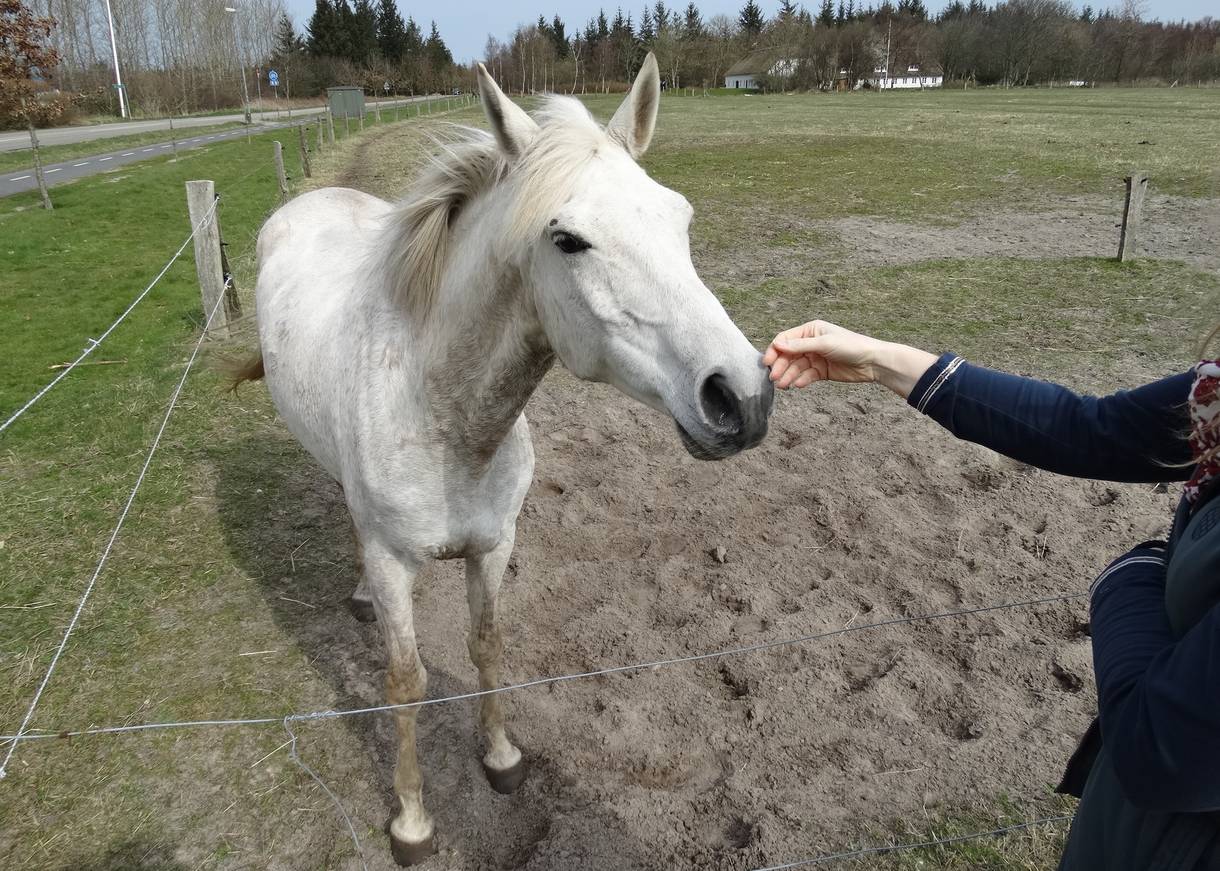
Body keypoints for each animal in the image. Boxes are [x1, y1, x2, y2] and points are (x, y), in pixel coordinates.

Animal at [233, 54, 774, 865]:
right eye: (569, 240)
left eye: (679, 219)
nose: (741, 396)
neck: (446, 418)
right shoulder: (395, 562)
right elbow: (405, 680)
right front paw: (413, 821)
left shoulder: (494, 546)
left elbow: (487, 646)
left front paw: (501, 757)